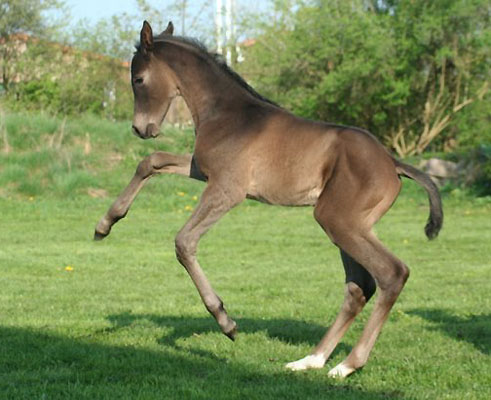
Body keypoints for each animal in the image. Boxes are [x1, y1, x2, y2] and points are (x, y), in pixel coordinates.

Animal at [94, 21, 444, 378]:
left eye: (138, 79)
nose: (141, 128)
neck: (228, 113)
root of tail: (393, 163)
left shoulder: (228, 189)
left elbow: (184, 242)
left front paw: (225, 321)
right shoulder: (204, 171)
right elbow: (152, 161)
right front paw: (105, 224)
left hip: (338, 220)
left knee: (392, 274)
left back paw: (347, 364)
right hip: (351, 226)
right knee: (359, 287)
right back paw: (311, 359)